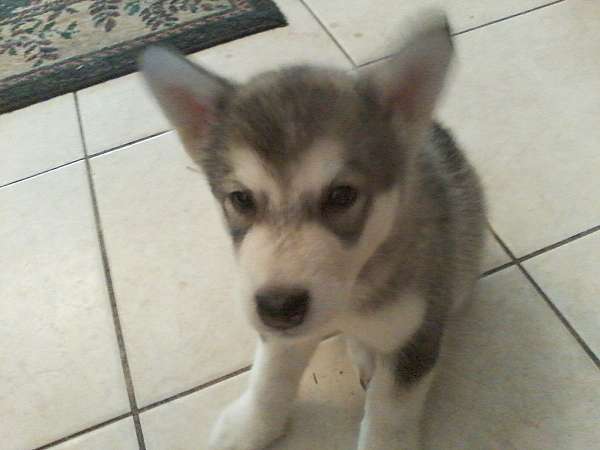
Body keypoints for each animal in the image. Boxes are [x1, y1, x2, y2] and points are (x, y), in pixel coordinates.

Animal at [139, 14, 482, 450]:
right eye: (241, 199)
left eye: (341, 195)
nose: (279, 307)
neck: (352, 292)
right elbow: (270, 379)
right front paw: (250, 426)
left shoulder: (415, 333)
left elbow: (390, 411)